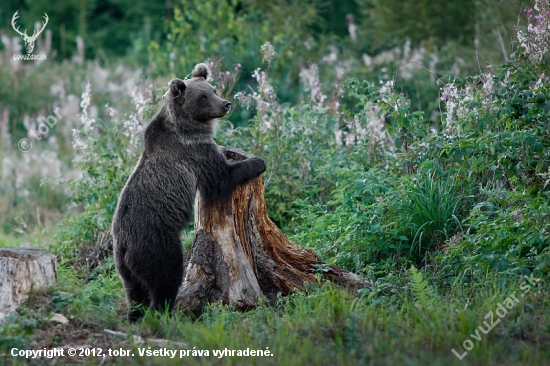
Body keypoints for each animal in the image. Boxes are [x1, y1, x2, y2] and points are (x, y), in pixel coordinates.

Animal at [112, 63, 268, 320]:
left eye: (213, 89)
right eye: (203, 97)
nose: (225, 104)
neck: (187, 126)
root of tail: (123, 244)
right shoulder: (195, 152)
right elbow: (220, 180)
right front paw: (258, 161)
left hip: (125, 267)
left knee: (134, 291)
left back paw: (136, 314)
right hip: (156, 243)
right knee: (166, 275)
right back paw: (165, 309)